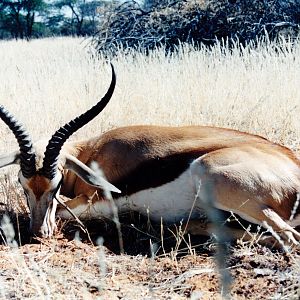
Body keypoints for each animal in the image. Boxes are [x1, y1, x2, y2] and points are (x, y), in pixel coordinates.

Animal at [0, 63, 300, 246]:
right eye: (22, 185)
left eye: (57, 184)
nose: (39, 233)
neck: (92, 152)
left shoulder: (98, 200)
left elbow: (65, 210)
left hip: (209, 172)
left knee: (289, 237)